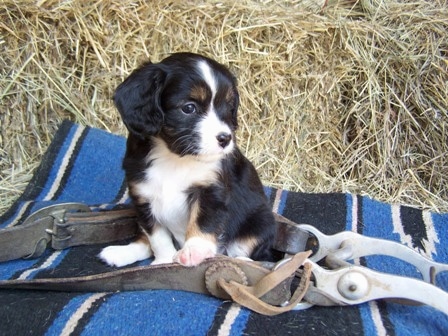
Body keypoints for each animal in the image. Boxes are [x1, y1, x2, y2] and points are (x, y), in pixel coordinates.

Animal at [100, 53, 278, 268]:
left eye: (229, 107)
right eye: (189, 108)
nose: (225, 138)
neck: (175, 158)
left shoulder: (210, 190)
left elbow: (202, 222)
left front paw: (194, 251)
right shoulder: (143, 197)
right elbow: (157, 237)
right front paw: (164, 262)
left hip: (261, 221)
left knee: (249, 253)